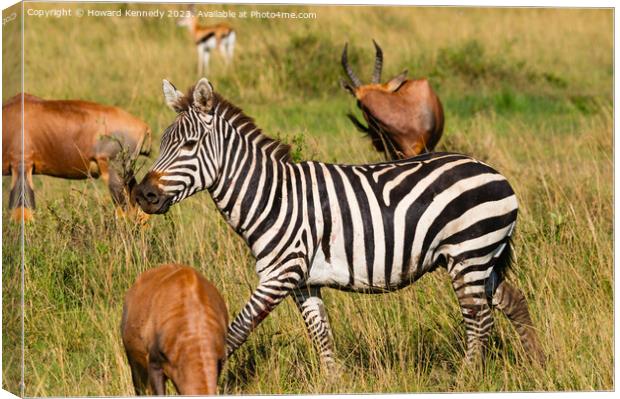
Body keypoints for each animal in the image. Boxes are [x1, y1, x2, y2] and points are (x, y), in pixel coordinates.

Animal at [132, 78, 544, 372]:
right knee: (512, 303)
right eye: (162, 143)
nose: (143, 194)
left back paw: (468, 377)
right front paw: (334, 382)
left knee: (479, 319)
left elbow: (235, 332)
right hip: (481, 258)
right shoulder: (302, 280)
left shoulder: (279, 274)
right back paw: (536, 366)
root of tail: (497, 174)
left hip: (468, 252)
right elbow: (321, 336)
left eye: (189, 145)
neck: (271, 196)